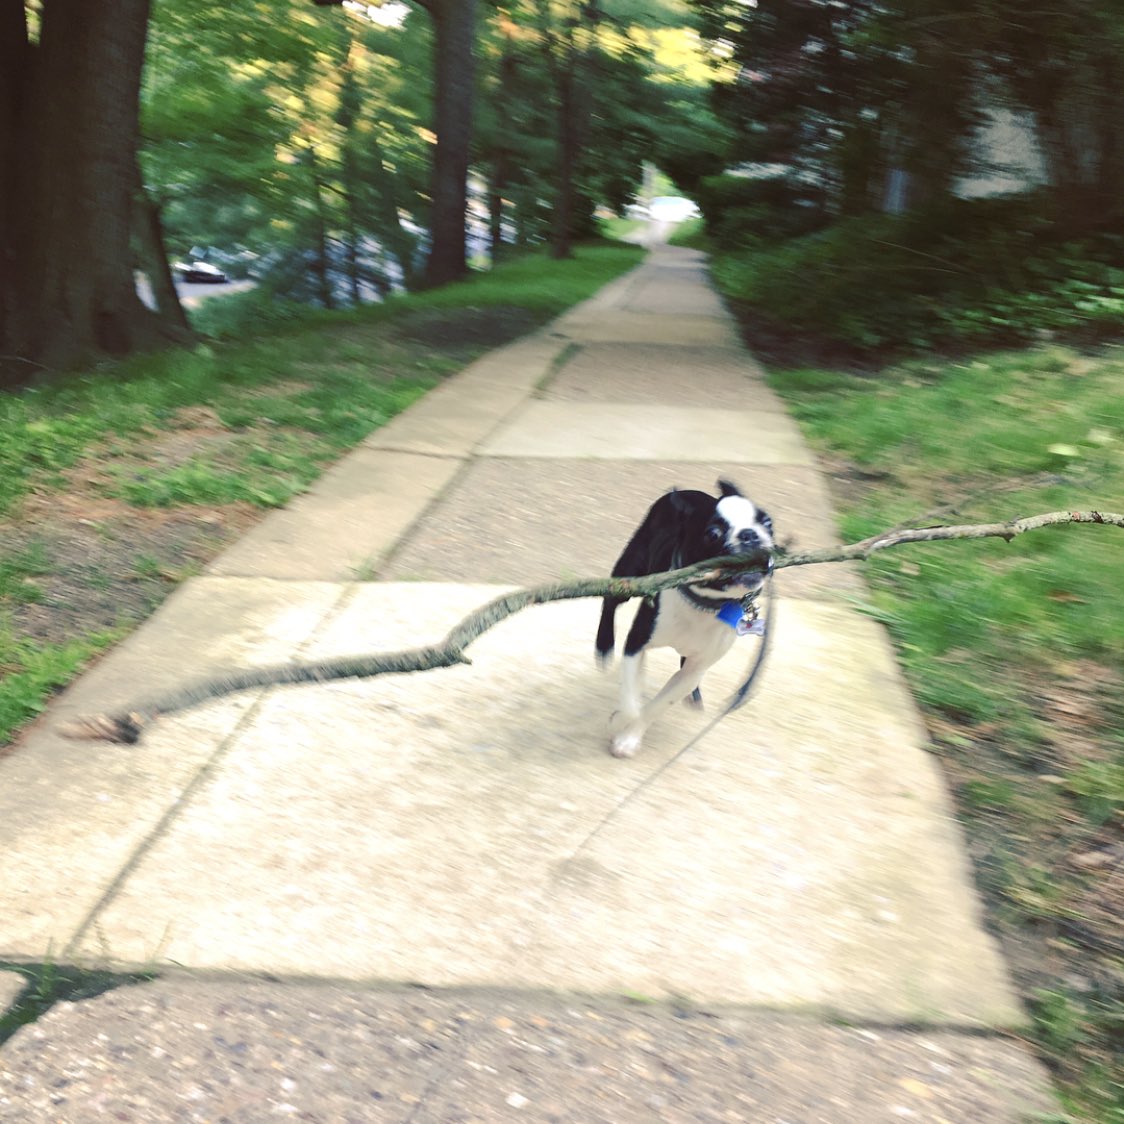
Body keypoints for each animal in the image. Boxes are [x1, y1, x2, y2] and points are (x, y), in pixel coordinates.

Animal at [596, 479, 774, 757]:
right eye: (713, 534)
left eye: (768, 523)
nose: (750, 534)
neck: (704, 604)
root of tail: (693, 492)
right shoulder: (637, 642)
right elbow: (631, 695)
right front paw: (620, 719)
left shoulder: (695, 669)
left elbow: (658, 704)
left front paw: (629, 738)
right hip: (632, 566)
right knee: (610, 601)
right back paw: (603, 646)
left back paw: (695, 694)